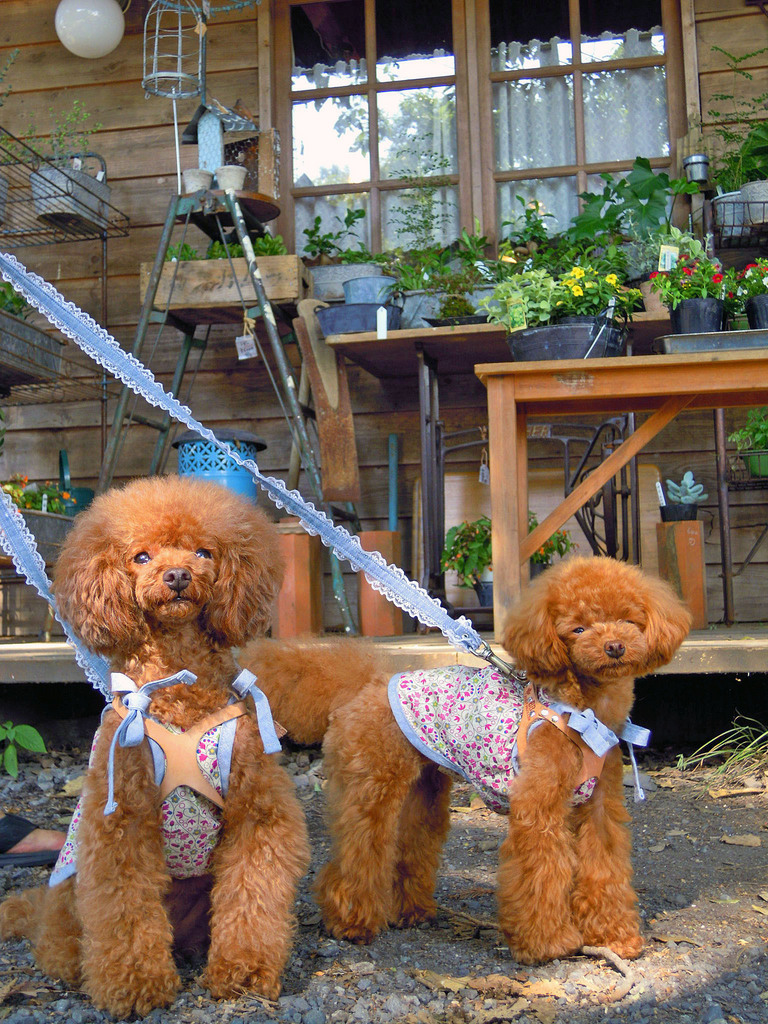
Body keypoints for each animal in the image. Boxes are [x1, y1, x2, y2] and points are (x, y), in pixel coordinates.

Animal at [0, 476, 310, 1018]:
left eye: (204, 551)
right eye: (140, 556)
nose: (178, 575)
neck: (178, 683)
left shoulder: (258, 812)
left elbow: (252, 894)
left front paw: (245, 973)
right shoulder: (121, 820)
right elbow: (125, 907)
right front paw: (136, 985)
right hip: (68, 897)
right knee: (61, 941)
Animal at [243, 556, 691, 965]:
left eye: (629, 621)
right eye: (577, 629)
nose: (614, 647)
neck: (583, 712)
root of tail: (369, 683)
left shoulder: (600, 808)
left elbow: (606, 869)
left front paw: (615, 937)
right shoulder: (538, 809)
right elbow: (541, 871)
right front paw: (547, 944)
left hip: (422, 792)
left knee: (411, 845)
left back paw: (411, 911)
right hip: (370, 787)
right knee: (359, 855)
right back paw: (351, 922)